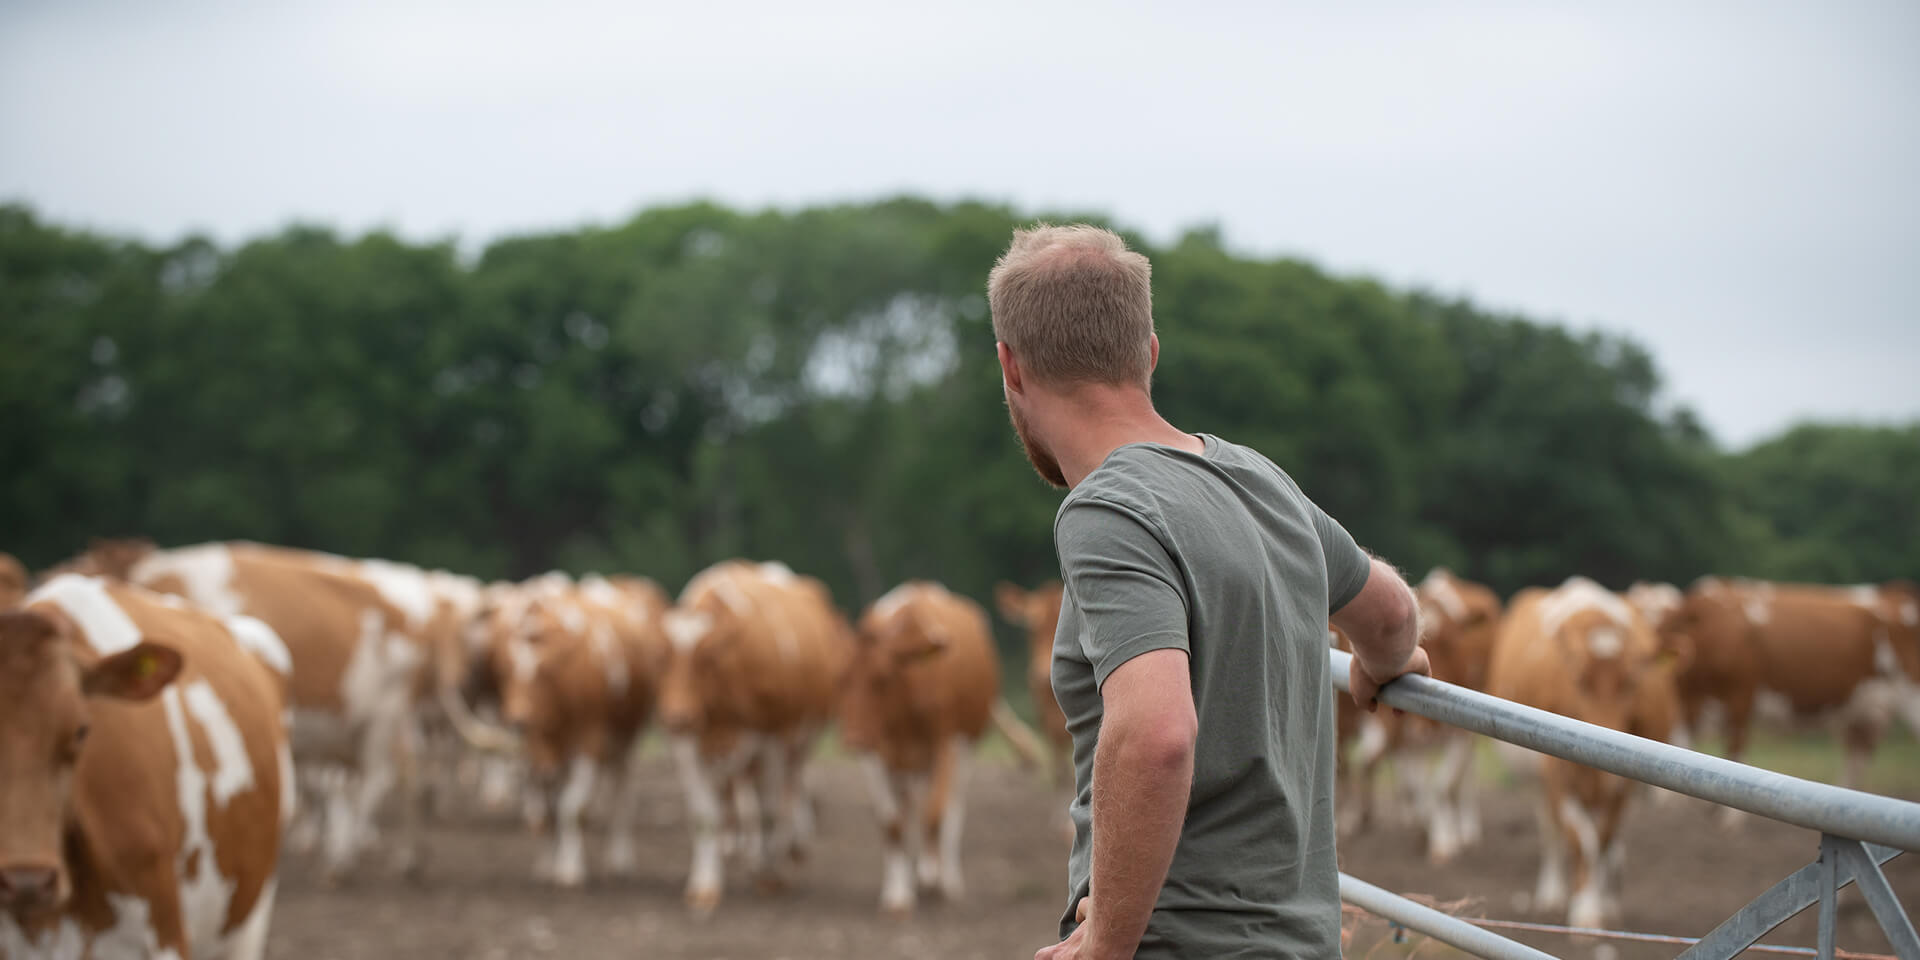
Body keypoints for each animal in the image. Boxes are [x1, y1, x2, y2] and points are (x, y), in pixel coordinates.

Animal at [659, 560, 851, 914]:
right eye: (662, 659)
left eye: (706, 659)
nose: (676, 717)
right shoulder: (689, 749)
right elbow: (705, 817)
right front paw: (704, 886)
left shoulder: (772, 739)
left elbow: (769, 811)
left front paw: (769, 875)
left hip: (798, 737)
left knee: (791, 789)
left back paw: (791, 848)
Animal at [842, 581, 999, 913]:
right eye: (841, 680)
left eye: (882, 679)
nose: (854, 737)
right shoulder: (876, 756)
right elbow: (891, 824)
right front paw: (898, 895)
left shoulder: (947, 744)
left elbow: (935, 813)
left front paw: (931, 874)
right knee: (908, 808)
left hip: (966, 746)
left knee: (952, 807)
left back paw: (946, 878)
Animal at [1488, 576, 1680, 931]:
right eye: (1579, 680)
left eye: (1631, 681)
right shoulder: (1557, 775)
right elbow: (1579, 840)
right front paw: (1584, 911)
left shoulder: (1622, 785)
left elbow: (1603, 838)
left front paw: (1601, 903)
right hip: (1535, 781)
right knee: (1550, 831)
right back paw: (1552, 892)